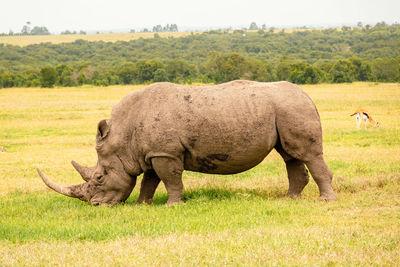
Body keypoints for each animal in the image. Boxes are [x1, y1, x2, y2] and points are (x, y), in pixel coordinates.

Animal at [37, 80, 338, 206]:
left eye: (99, 177)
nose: (96, 206)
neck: (123, 137)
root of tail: (307, 95)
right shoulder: (151, 152)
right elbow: (149, 180)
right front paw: (142, 205)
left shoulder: (165, 153)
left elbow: (170, 179)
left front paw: (172, 206)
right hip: (285, 109)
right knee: (290, 155)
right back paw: (289, 199)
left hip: (293, 107)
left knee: (307, 154)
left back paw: (325, 201)